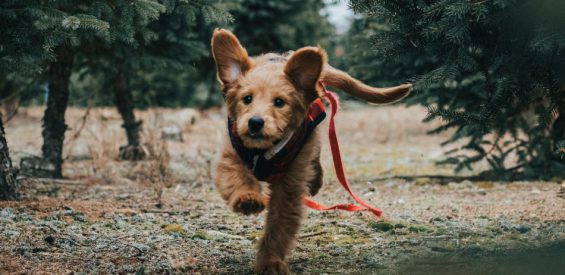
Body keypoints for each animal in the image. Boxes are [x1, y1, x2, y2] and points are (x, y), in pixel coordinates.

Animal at [212, 29, 410, 274]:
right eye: (247, 99)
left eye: (280, 102)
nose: (255, 123)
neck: (265, 150)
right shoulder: (230, 154)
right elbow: (237, 178)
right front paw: (247, 198)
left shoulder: (290, 185)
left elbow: (278, 226)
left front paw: (271, 261)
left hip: (310, 138)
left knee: (316, 157)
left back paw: (315, 181)